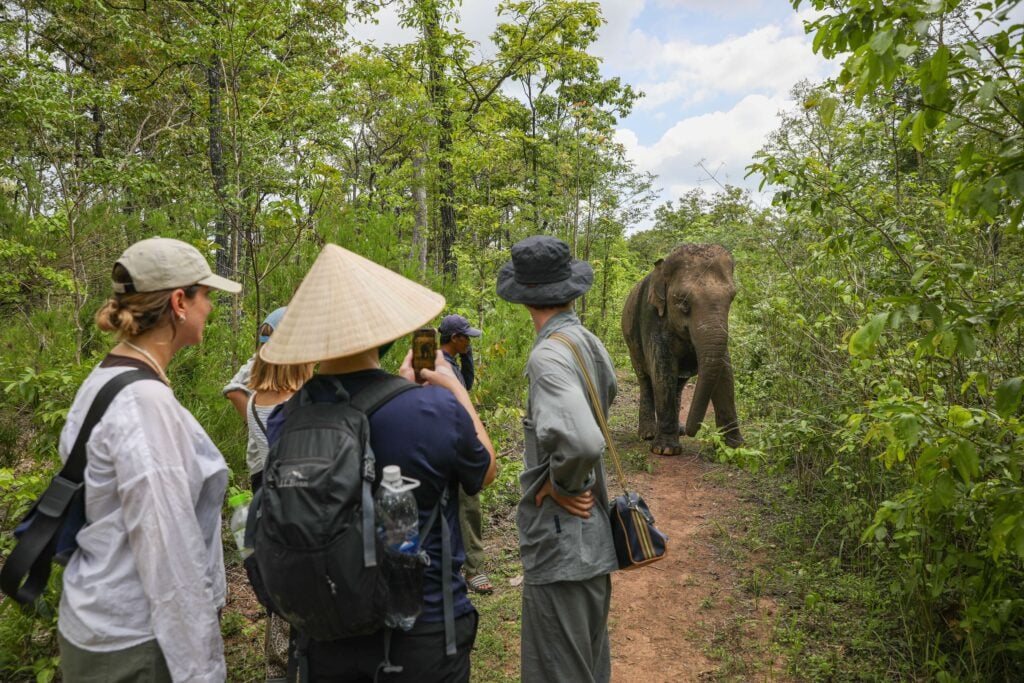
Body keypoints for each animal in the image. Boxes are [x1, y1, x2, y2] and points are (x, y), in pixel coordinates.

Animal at [618, 242, 741, 456]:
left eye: (732, 297)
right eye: (683, 301)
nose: (693, 432)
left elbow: (725, 372)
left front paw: (735, 447)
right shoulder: (652, 318)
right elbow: (663, 369)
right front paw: (665, 450)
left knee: (679, 384)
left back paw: (678, 430)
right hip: (631, 343)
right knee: (645, 380)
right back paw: (648, 434)